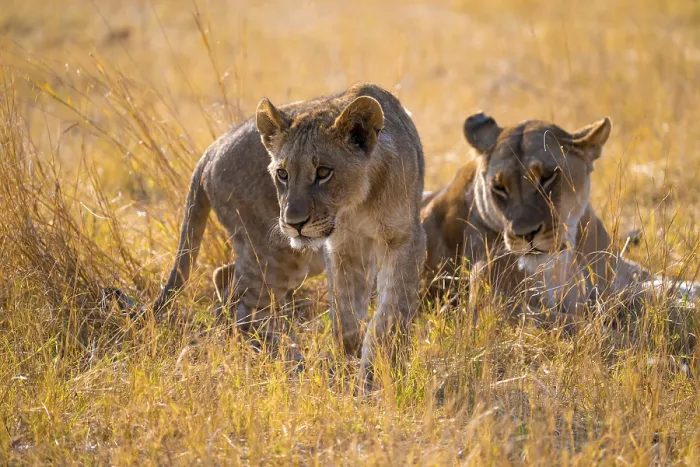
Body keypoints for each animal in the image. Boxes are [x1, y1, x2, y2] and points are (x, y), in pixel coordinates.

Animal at [154, 83, 426, 390]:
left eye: (323, 172)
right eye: (282, 173)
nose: (294, 223)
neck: (358, 202)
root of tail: (211, 150)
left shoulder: (404, 239)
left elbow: (389, 314)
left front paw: (371, 371)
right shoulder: (340, 247)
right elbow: (345, 314)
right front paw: (355, 367)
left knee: (224, 279)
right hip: (278, 254)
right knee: (244, 311)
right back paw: (292, 361)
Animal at [420, 112, 652, 322]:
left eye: (547, 177)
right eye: (499, 187)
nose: (526, 234)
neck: (562, 264)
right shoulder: (494, 308)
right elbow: (576, 324)